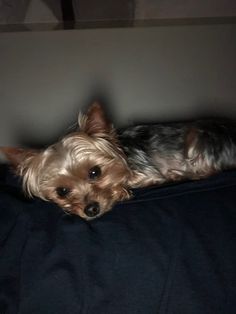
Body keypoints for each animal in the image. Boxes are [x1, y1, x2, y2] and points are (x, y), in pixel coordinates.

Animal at [1, 103, 236, 218]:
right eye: (62, 191)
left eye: (95, 172)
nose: (91, 210)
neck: (122, 155)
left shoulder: (148, 174)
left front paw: (120, 191)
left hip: (200, 135)